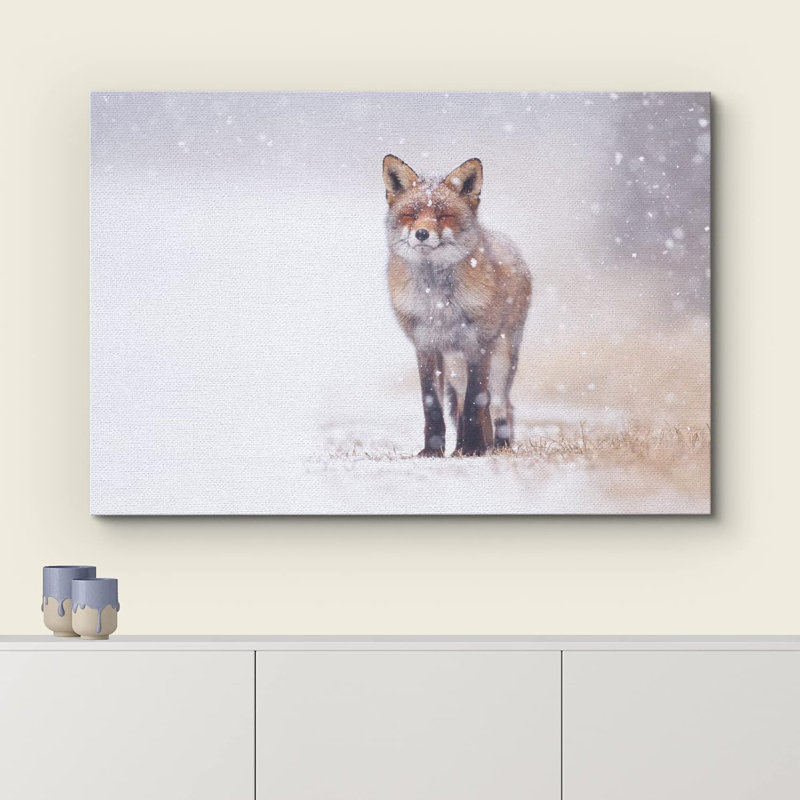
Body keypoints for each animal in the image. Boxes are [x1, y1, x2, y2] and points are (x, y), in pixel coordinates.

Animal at [383, 154, 531, 457]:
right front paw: (433, 451)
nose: (422, 233)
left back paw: (495, 446)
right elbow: (433, 404)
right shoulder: (425, 345)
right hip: (454, 364)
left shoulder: (477, 344)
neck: (437, 302)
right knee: (462, 402)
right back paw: (462, 446)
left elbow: (477, 401)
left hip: (501, 357)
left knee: (499, 405)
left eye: (443, 216)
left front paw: (474, 448)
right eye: (411, 214)